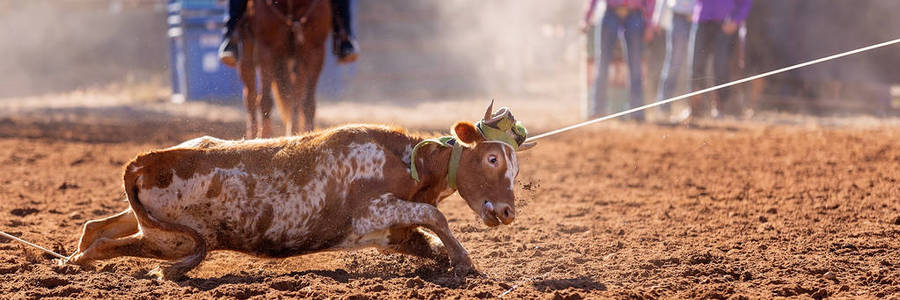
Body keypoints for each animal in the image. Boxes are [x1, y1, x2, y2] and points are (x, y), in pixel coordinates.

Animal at [70, 105, 536, 278]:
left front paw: (452, 260)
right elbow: (434, 216)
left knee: (97, 226)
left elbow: (425, 236)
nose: (507, 212)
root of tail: (146, 161)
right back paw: (77, 261)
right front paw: (463, 260)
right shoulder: (370, 213)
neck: (409, 161)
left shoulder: (387, 233)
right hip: (170, 240)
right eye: (492, 159)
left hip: (150, 226)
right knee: (104, 245)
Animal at [236, 0, 330, 138]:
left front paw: (307, 133)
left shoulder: (315, 50)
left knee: (296, 98)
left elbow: (307, 103)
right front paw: (264, 136)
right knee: (250, 93)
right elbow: (265, 100)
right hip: (248, 48)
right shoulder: (266, 48)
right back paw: (251, 136)